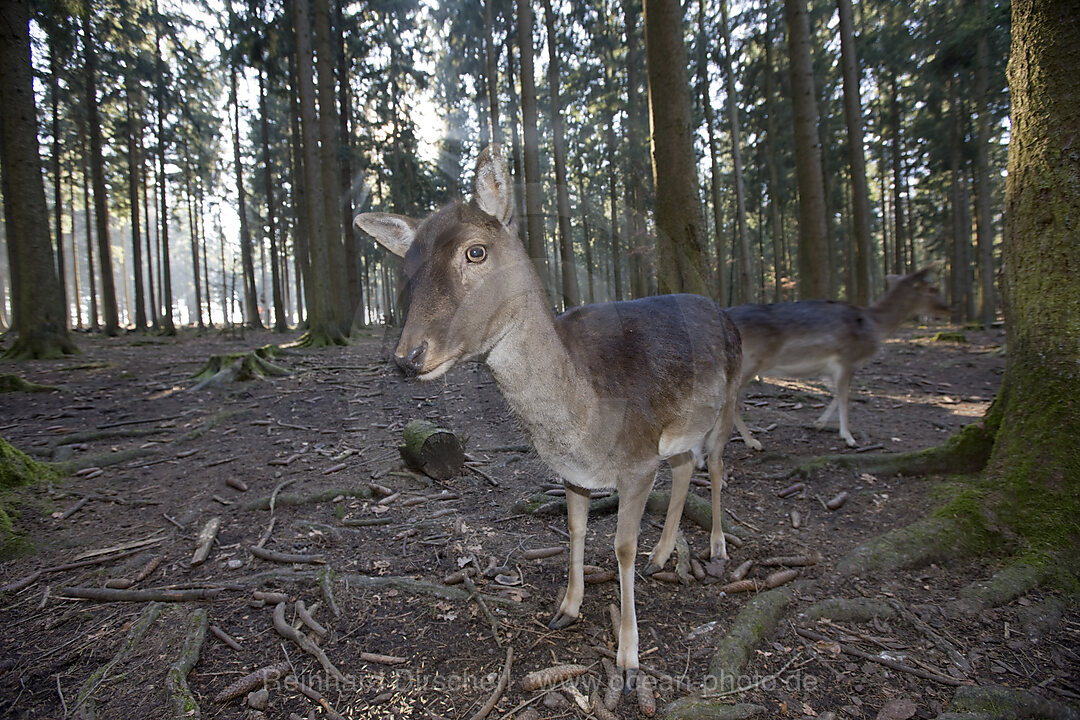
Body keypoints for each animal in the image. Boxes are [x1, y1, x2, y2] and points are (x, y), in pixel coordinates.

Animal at [354, 143, 743, 690]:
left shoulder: (638, 460)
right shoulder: (573, 472)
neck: (581, 422)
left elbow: (622, 546)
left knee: (718, 466)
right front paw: (566, 609)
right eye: (406, 268)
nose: (407, 356)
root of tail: (729, 315)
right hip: (680, 429)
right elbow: (575, 531)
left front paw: (628, 660)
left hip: (728, 403)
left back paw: (718, 549)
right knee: (687, 465)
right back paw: (663, 556)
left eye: (476, 251)